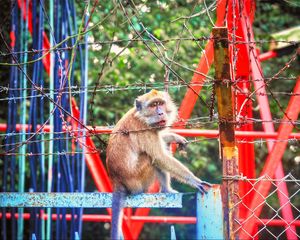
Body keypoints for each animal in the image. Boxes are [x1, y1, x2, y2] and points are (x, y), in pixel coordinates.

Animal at [106, 89, 211, 239]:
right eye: (153, 105)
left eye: (161, 103)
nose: (161, 112)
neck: (142, 117)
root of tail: (117, 180)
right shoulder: (144, 129)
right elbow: (160, 157)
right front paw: (194, 180)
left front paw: (174, 136)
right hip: (137, 182)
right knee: (151, 158)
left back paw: (167, 190)